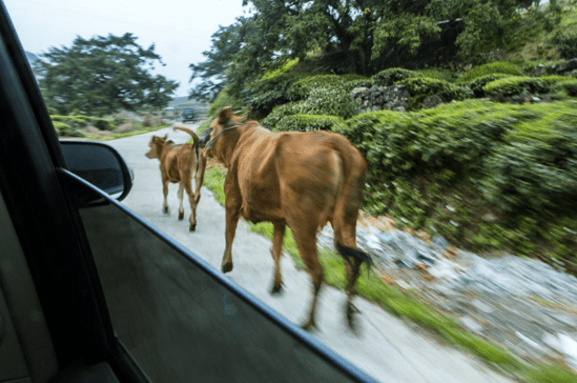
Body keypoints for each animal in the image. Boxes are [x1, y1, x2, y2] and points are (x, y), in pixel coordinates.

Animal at [200, 106, 372, 332]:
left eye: (212, 128)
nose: (201, 142)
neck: (240, 138)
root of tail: (337, 142)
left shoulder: (232, 200)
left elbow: (229, 234)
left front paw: (226, 265)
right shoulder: (279, 220)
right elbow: (276, 250)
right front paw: (276, 285)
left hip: (302, 224)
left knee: (317, 273)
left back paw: (307, 323)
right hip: (347, 220)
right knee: (351, 264)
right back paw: (349, 315)